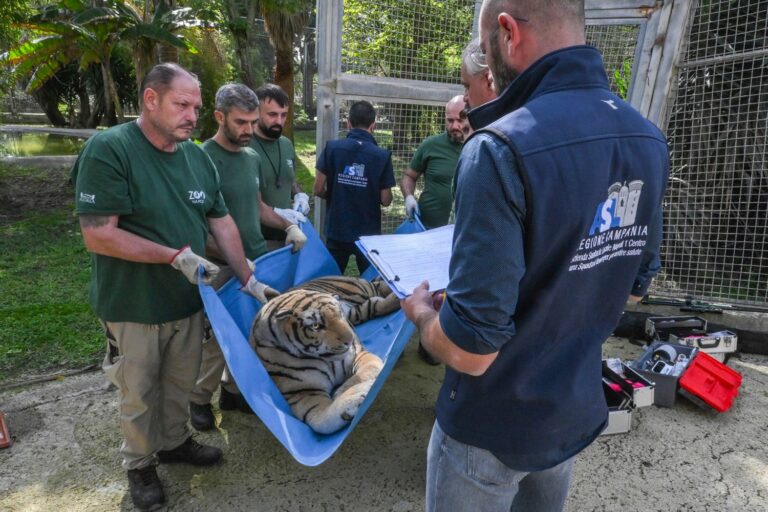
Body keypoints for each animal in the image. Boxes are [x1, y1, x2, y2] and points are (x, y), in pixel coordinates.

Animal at [250, 276, 402, 432]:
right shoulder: (303, 393)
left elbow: (365, 372)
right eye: (316, 326)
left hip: (360, 290)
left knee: (378, 288)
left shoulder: (359, 354)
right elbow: (321, 422)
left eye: (340, 314)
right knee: (373, 305)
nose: (350, 340)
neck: (323, 358)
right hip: (357, 312)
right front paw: (352, 398)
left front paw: (345, 390)